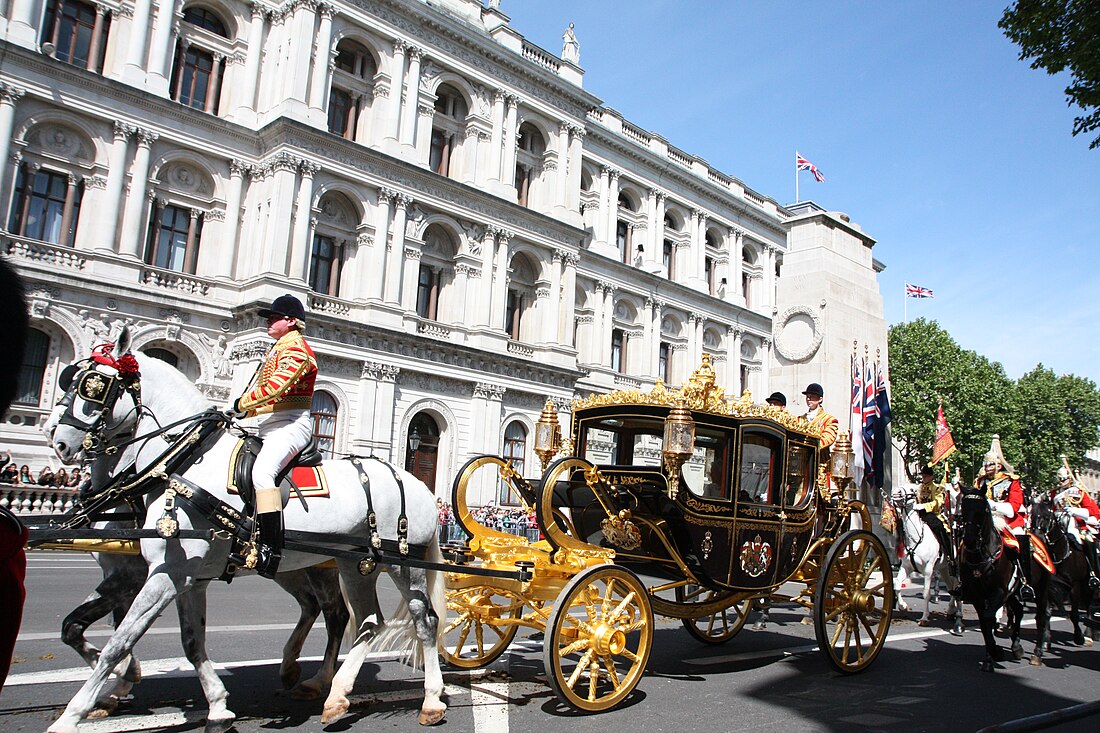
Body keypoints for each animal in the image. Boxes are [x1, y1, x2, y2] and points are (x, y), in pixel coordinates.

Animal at [42, 327, 446, 726]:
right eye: (71, 379)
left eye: (93, 385)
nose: (57, 439)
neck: (185, 464)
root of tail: (416, 483)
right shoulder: (182, 576)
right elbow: (186, 642)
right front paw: (214, 703)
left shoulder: (164, 572)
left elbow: (119, 641)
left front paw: (76, 712)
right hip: (352, 564)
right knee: (363, 620)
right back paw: (331, 693)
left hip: (402, 564)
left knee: (423, 619)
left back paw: (430, 699)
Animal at [893, 484, 963, 633]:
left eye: (912, 490)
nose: (895, 492)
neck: (917, 538)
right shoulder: (906, 567)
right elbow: (897, 584)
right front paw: (903, 606)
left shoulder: (928, 570)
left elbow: (926, 593)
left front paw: (924, 618)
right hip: (943, 569)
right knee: (950, 587)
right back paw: (950, 611)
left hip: (954, 569)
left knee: (955, 586)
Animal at [954, 484, 1047, 669]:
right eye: (964, 507)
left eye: (982, 509)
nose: (969, 540)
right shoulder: (977, 595)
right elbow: (984, 623)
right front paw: (992, 654)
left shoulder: (998, 592)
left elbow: (989, 618)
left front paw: (994, 653)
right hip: (1012, 593)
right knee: (1018, 610)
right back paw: (1017, 647)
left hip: (1040, 589)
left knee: (1041, 617)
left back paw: (1037, 653)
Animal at [1029, 497, 1091, 647]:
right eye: (1032, 516)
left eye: (1047, 517)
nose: (1038, 536)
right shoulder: (1049, 586)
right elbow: (1047, 612)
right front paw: (1045, 639)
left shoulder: (1076, 586)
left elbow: (1074, 614)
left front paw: (1079, 637)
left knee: (1088, 606)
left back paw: (1089, 633)